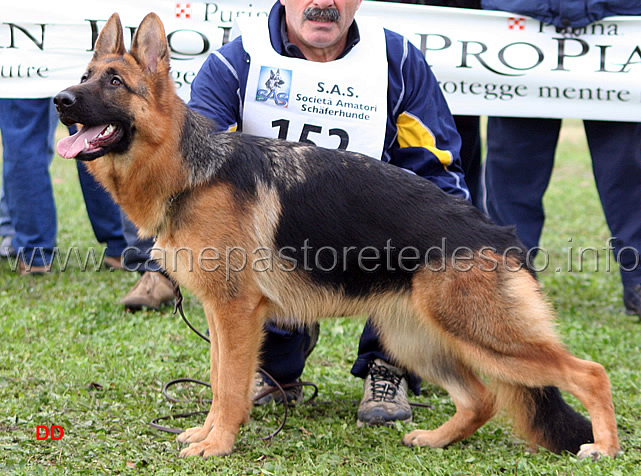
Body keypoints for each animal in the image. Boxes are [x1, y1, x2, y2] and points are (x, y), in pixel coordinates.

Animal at [55, 13, 620, 460]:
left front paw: (217, 445)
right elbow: (218, 383)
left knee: (590, 372)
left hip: (483, 335)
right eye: (84, 77)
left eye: (114, 82)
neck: (191, 171)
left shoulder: (236, 315)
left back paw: (604, 448)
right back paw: (436, 439)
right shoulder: (221, 317)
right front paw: (207, 433)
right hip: (418, 338)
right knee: (481, 399)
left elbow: (229, 388)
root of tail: (501, 235)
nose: (60, 100)